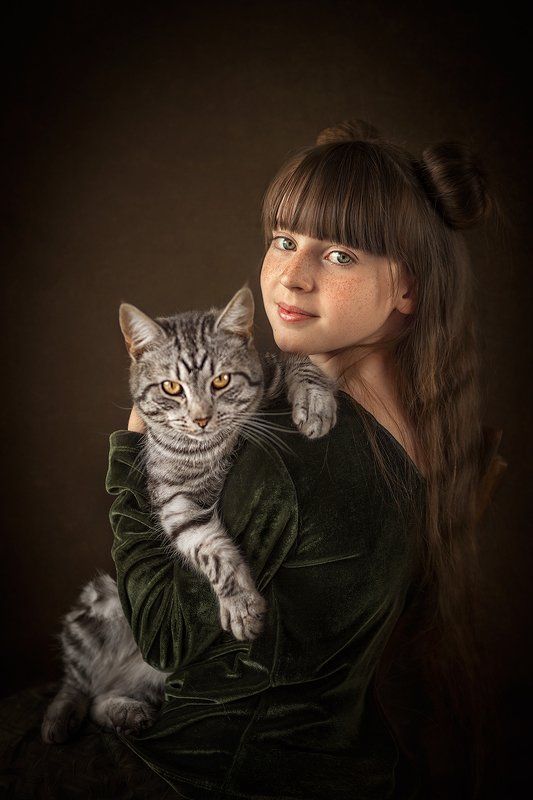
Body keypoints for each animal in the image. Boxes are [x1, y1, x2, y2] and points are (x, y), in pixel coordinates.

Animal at [41, 286, 336, 744]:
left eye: (221, 381)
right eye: (171, 387)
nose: (201, 419)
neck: (209, 449)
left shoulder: (269, 370)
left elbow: (297, 360)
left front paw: (316, 401)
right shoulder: (176, 503)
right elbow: (211, 551)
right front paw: (241, 606)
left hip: (151, 677)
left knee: (102, 700)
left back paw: (127, 713)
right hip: (96, 606)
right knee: (77, 686)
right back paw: (59, 718)